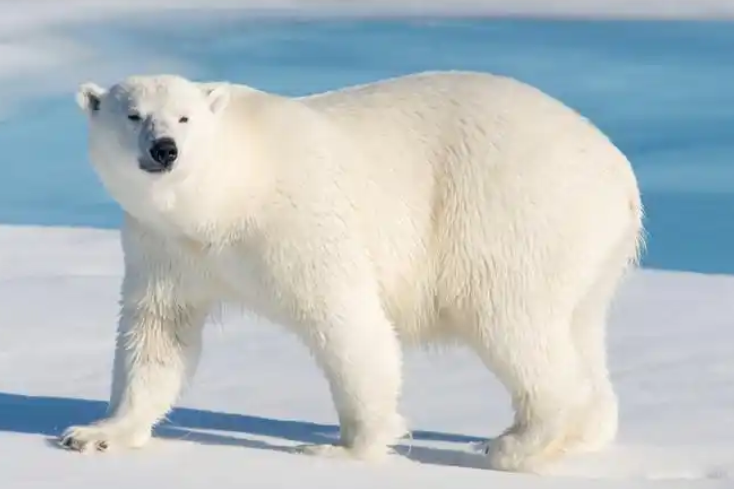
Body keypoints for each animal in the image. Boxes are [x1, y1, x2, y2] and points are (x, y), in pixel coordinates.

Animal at [60, 70, 644, 473]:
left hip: (510, 213)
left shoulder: (297, 221)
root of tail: (619, 170)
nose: (165, 150)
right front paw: (95, 433)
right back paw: (582, 432)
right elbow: (158, 333)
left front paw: (342, 448)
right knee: (578, 327)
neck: (227, 195)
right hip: (588, 250)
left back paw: (514, 442)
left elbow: (346, 321)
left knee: (511, 320)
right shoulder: (165, 247)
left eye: (184, 118)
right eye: (133, 115)